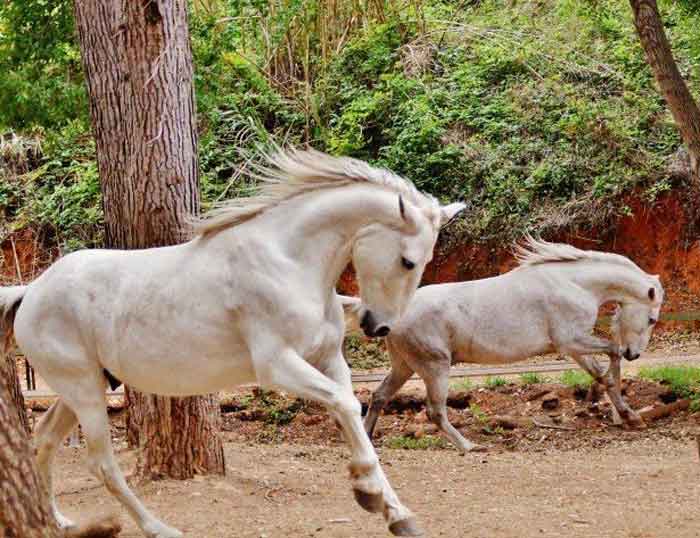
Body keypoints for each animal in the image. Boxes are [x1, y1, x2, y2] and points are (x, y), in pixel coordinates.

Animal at [4, 148, 470, 536]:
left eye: (424, 261)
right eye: (408, 261)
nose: (380, 327)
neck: (289, 261)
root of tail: (32, 291)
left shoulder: (328, 360)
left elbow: (352, 412)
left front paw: (396, 513)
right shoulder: (277, 365)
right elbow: (343, 404)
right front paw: (368, 494)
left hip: (86, 387)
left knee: (43, 440)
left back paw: (58, 520)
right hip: (84, 390)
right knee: (102, 463)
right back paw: (159, 528)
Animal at [358, 237, 664, 450]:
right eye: (651, 319)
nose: (635, 354)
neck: (574, 284)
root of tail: (392, 315)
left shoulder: (576, 348)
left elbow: (603, 376)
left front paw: (626, 416)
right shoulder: (571, 341)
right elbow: (612, 353)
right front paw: (623, 413)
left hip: (404, 366)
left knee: (379, 396)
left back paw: (368, 438)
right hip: (435, 368)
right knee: (434, 412)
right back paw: (469, 446)